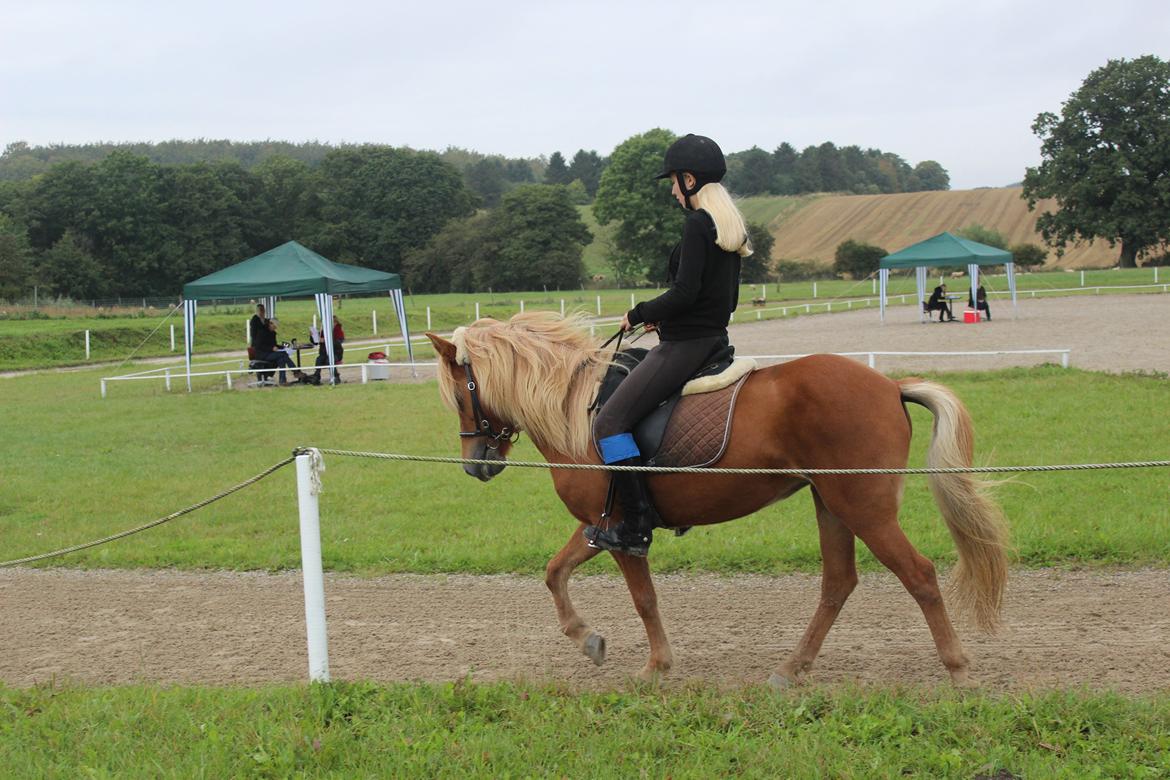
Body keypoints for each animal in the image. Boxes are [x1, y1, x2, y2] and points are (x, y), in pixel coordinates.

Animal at [425, 313, 1010, 687]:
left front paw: (655, 668)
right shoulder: (600, 524)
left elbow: (643, 598)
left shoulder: (622, 530)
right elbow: (554, 571)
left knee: (919, 575)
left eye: (460, 396)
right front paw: (587, 640)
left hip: (864, 508)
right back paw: (792, 669)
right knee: (838, 583)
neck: (577, 410)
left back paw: (958, 669)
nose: (476, 464)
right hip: (832, 503)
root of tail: (889, 386)